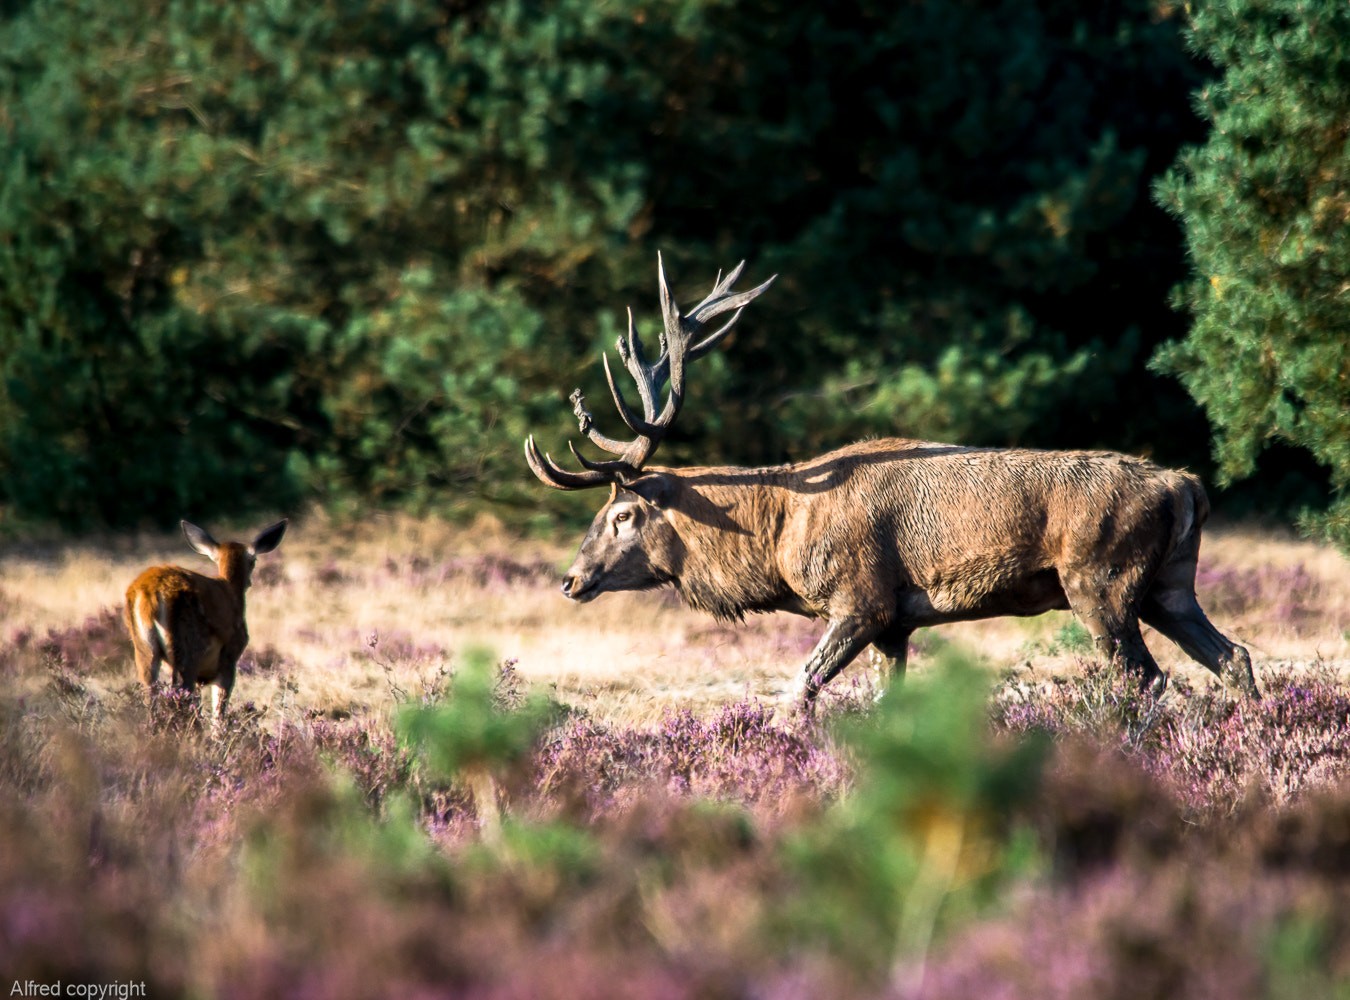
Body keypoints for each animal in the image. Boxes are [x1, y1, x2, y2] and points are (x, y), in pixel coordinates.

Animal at [126, 523, 287, 723]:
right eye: (254, 560)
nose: (250, 581)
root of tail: (149, 594)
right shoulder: (229, 657)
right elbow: (219, 711)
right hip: (186, 645)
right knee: (180, 693)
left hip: (143, 647)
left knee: (150, 695)